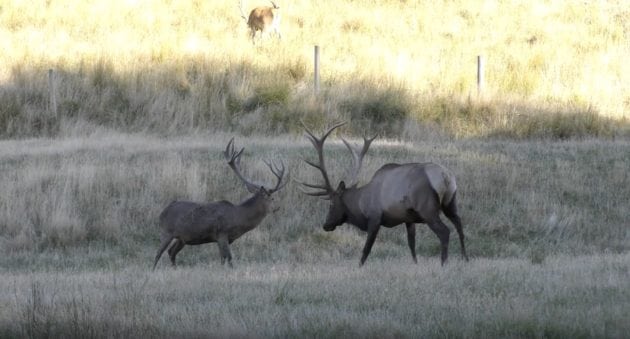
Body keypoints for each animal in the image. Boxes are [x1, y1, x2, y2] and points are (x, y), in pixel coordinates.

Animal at [153, 138, 288, 270]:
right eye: (272, 198)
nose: (278, 207)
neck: (238, 217)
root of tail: (162, 213)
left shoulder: (219, 238)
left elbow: (222, 258)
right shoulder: (222, 233)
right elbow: (229, 258)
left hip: (182, 238)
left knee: (171, 252)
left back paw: (174, 268)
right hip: (167, 231)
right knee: (158, 253)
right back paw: (153, 270)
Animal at [302, 123, 470, 266]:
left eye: (331, 203)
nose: (326, 225)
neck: (361, 204)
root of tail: (445, 177)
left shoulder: (375, 217)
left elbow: (366, 249)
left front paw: (359, 267)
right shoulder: (408, 219)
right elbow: (411, 244)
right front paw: (415, 264)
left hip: (428, 209)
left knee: (445, 232)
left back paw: (444, 263)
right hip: (450, 202)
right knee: (460, 226)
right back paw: (465, 258)